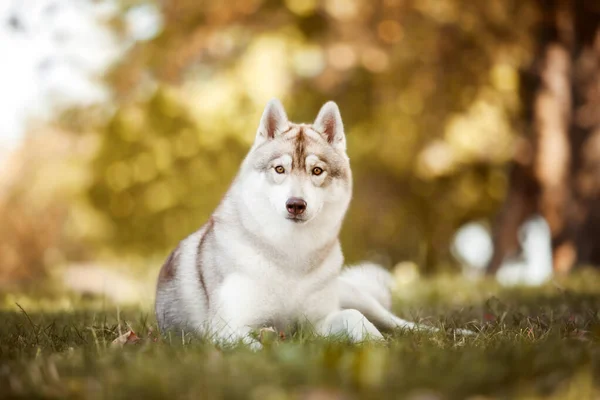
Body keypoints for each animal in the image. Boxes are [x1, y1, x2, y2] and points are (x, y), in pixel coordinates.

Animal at [156, 99, 474, 346]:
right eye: (279, 169)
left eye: (317, 171)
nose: (296, 204)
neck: (290, 256)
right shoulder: (226, 328)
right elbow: (255, 346)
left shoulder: (317, 322)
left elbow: (356, 319)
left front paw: (377, 345)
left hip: (354, 294)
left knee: (398, 322)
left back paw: (453, 334)